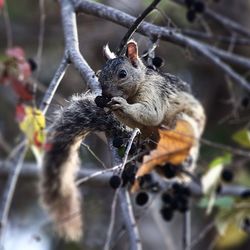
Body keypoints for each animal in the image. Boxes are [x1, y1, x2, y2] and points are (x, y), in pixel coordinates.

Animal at [40, 40, 205, 241]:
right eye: (100, 75)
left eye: (123, 74)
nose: (106, 94)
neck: (139, 84)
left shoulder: (154, 92)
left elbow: (151, 113)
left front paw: (121, 104)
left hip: (184, 128)